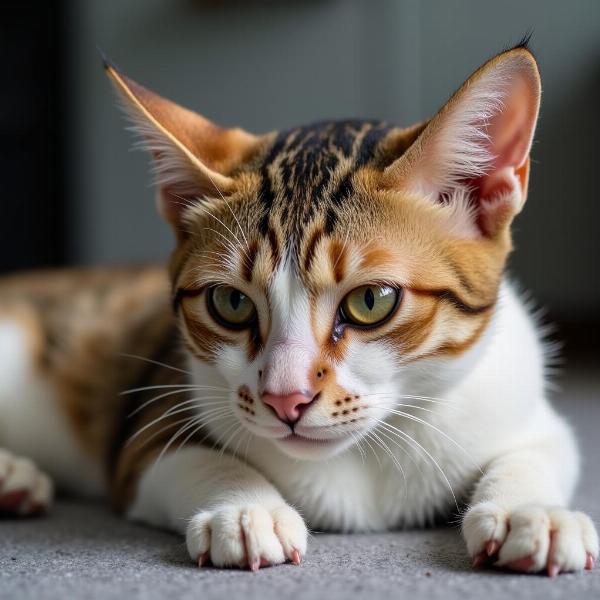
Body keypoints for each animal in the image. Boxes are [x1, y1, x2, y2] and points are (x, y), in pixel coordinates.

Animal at [0, 42, 596, 576]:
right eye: (231, 303)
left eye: (371, 301)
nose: (285, 399)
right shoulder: (149, 424)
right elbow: (191, 457)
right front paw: (245, 507)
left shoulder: (520, 408)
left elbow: (538, 450)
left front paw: (532, 512)